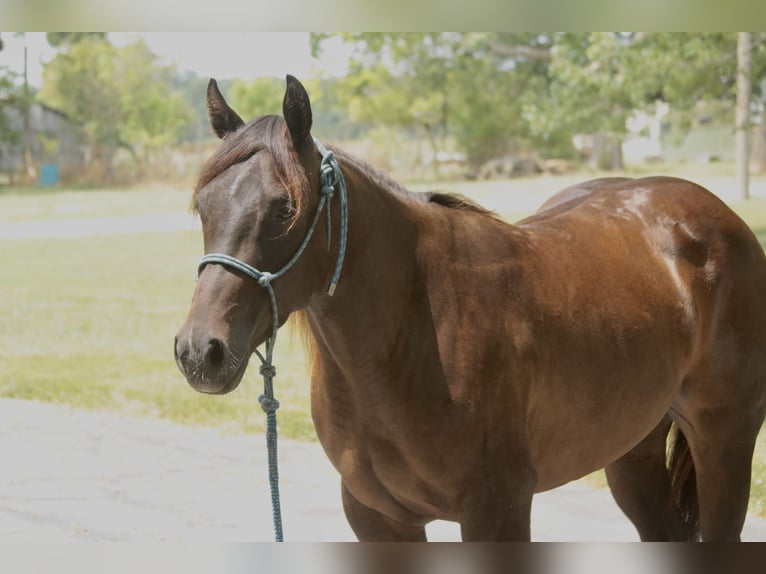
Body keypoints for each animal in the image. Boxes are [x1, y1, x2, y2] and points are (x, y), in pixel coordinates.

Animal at [174, 75, 766, 541]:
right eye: (203, 205)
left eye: (284, 209)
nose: (200, 351)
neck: (411, 337)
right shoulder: (379, 519)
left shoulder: (496, 510)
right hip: (631, 449)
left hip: (725, 441)